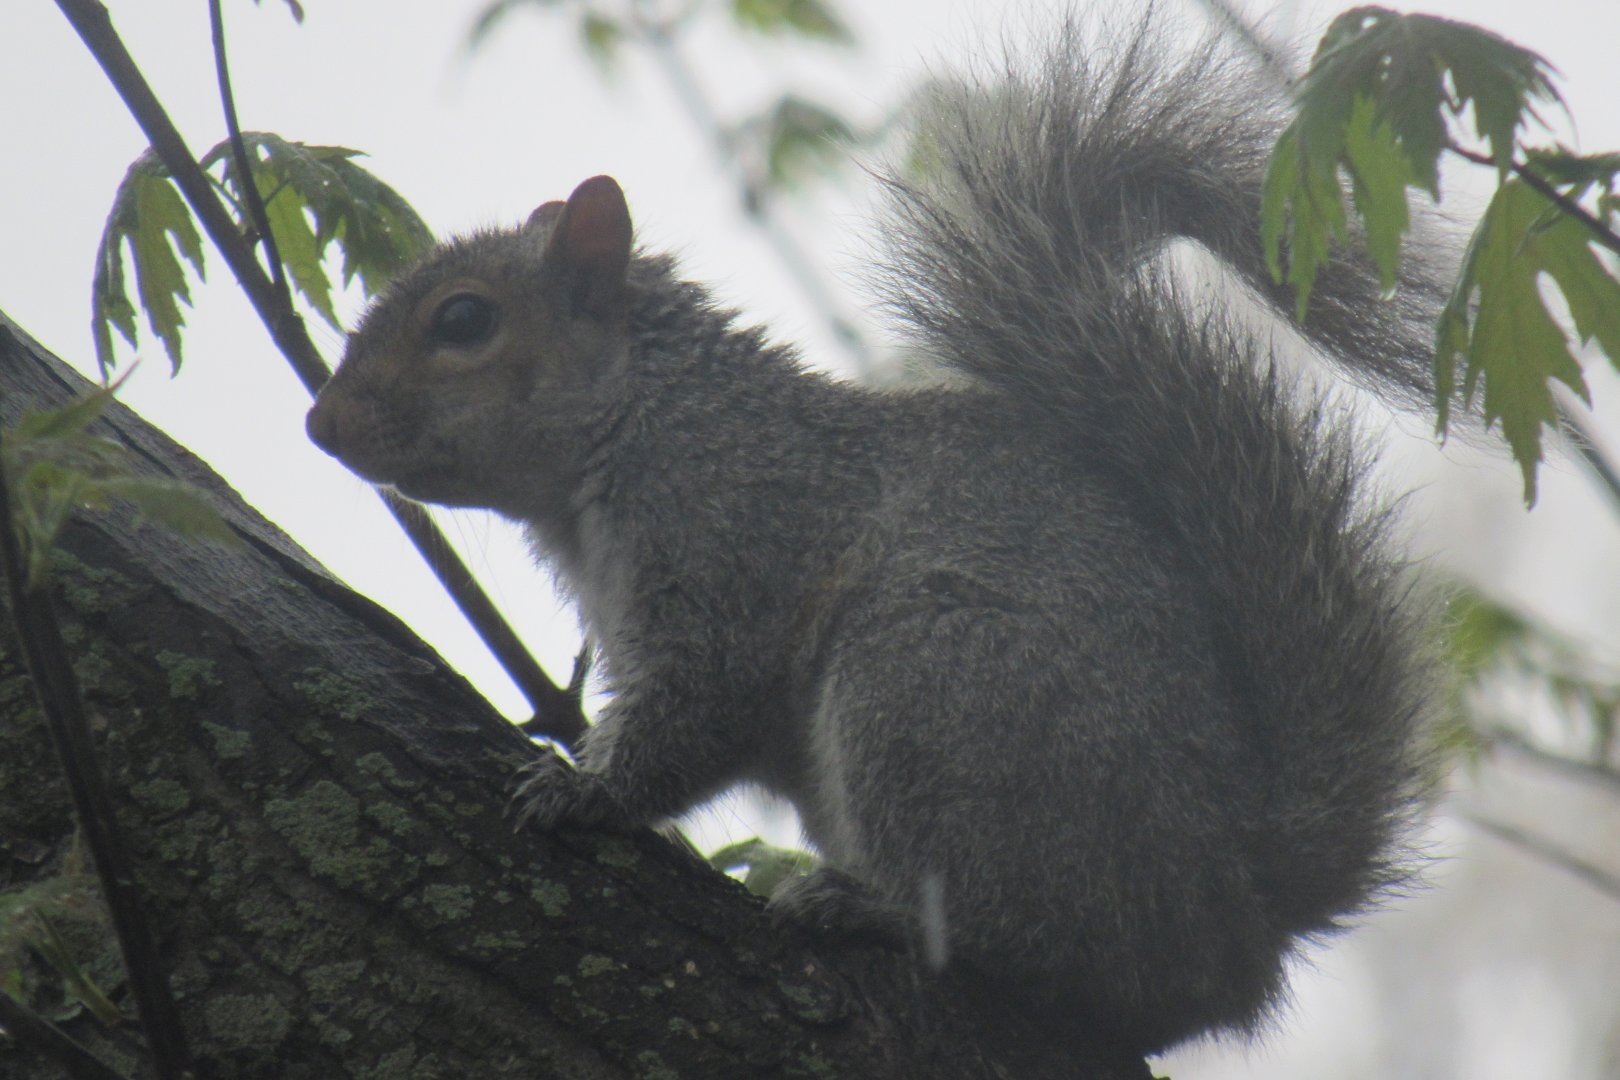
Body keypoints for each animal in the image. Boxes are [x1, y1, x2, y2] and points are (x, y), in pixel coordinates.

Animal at [305, 21, 1440, 1056]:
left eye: (463, 322)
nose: (323, 424)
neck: (648, 420)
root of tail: (1248, 899)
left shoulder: (733, 541)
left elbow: (698, 710)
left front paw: (582, 791)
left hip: (934, 691)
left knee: (1056, 944)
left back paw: (872, 910)